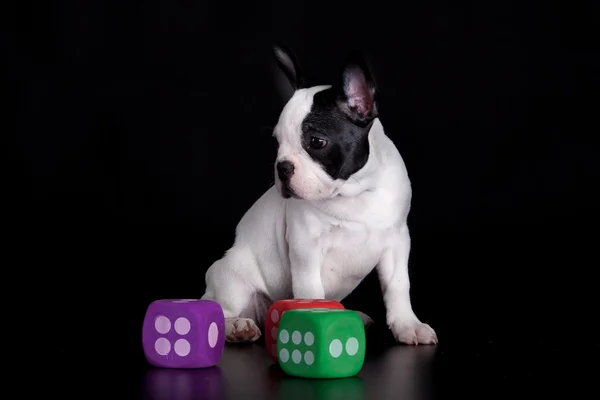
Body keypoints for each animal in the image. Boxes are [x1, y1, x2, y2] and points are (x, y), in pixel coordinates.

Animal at [200, 45, 436, 346]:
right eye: (277, 143)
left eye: (316, 142)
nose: (282, 167)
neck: (354, 192)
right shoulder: (306, 247)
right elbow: (312, 290)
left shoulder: (397, 241)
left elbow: (397, 285)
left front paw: (408, 325)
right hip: (231, 277)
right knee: (223, 310)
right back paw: (237, 326)